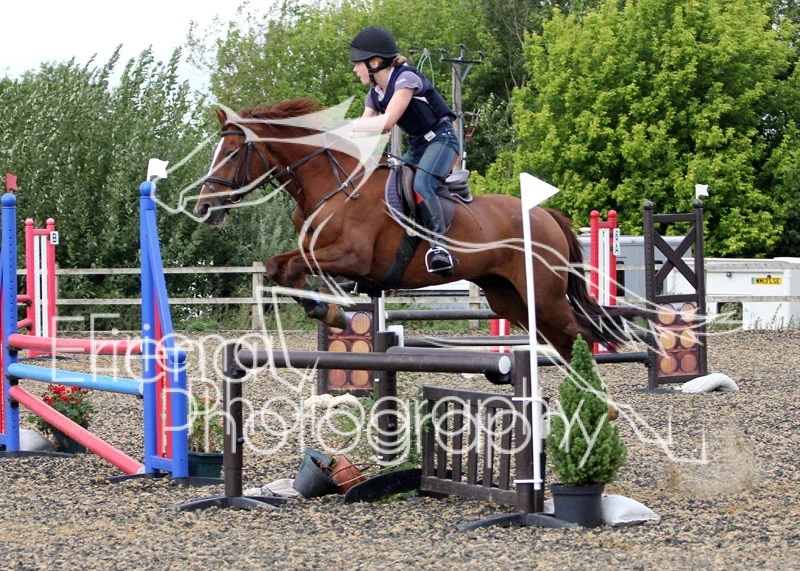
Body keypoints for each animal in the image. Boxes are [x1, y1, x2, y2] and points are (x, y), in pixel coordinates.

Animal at [192, 98, 639, 363]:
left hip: (542, 294)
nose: (203, 208)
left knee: (577, 334)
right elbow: (278, 267)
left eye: (231, 152)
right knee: (563, 338)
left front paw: (330, 312)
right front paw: (328, 311)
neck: (335, 185)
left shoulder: (353, 256)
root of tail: (547, 215)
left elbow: (290, 267)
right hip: (509, 298)